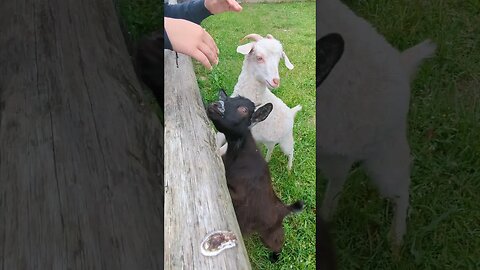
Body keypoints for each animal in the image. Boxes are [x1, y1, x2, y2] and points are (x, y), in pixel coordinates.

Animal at [217, 33, 302, 169]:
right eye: (259, 57)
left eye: (279, 60)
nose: (276, 81)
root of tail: (291, 112)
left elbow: (222, 151)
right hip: (269, 140)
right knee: (271, 148)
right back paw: (267, 160)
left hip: (286, 139)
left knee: (291, 151)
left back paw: (289, 169)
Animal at [316, 0, 436, 252]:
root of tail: (403, 65)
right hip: (335, 156)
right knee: (338, 181)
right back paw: (326, 215)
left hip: (384, 156)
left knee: (402, 185)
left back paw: (396, 240)